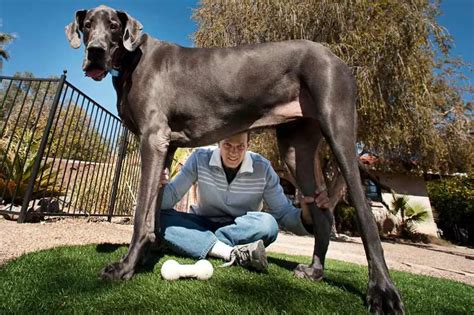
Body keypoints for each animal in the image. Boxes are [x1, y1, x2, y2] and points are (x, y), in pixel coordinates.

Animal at [65, 5, 404, 315]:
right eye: (87, 25)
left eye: (113, 25)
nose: (94, 52)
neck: (133, 59)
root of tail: (334, 56)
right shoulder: (167, 147)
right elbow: (155, 210)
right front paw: (147, 255)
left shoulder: (153, 138)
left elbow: (140, 217)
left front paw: (125, 267)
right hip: (296, 148)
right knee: (321, 214)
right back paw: (315, 271)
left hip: (338, 126)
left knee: (364, 213)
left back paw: (382, 292)